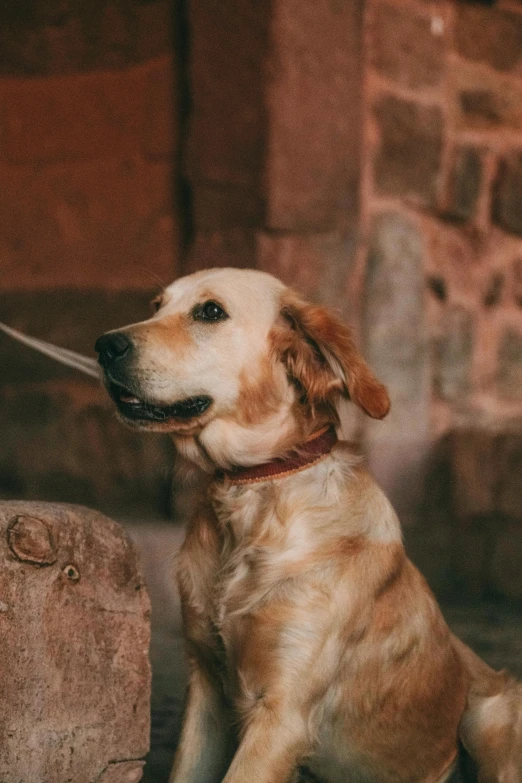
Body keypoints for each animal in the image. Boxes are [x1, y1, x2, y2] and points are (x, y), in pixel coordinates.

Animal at [95, 268, 516, 783]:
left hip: (491, 715)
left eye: (210, 311)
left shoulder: (283, 713)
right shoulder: (207, 693)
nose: (104, 346)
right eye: (156, 306)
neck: (255, 491)